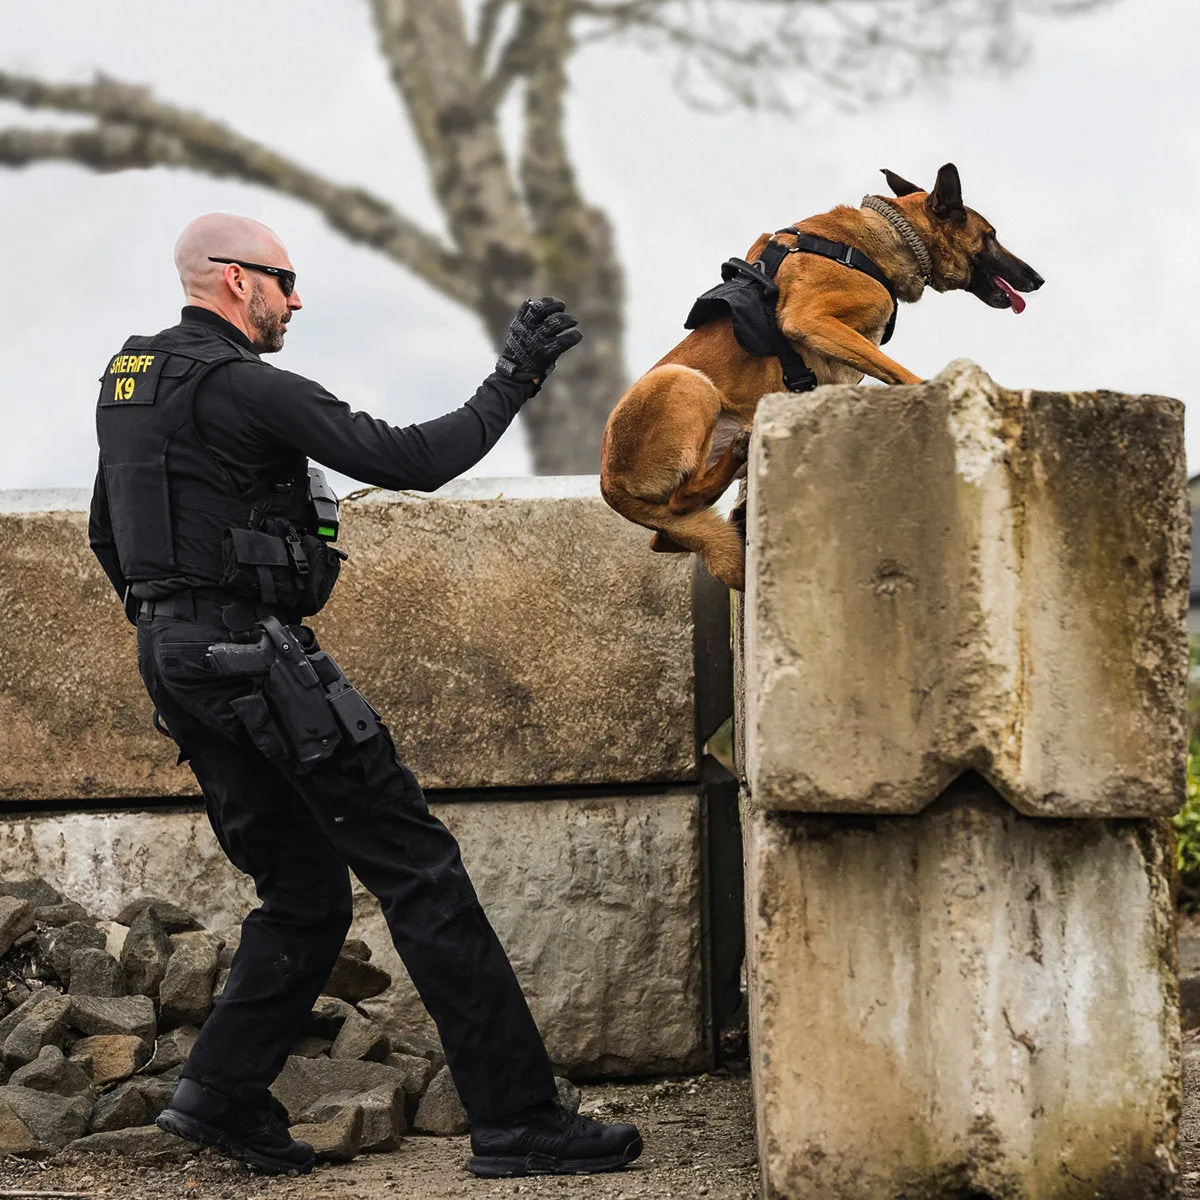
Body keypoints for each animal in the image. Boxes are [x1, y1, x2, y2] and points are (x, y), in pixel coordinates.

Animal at [597, 164, 1041, 590]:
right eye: (990, 236)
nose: (1037, 279)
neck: (893, 235)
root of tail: (608, 484)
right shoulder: (810, 321)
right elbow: (901, 373)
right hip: (684, 382)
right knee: (680, 501)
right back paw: (737, 456)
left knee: (668, 535)